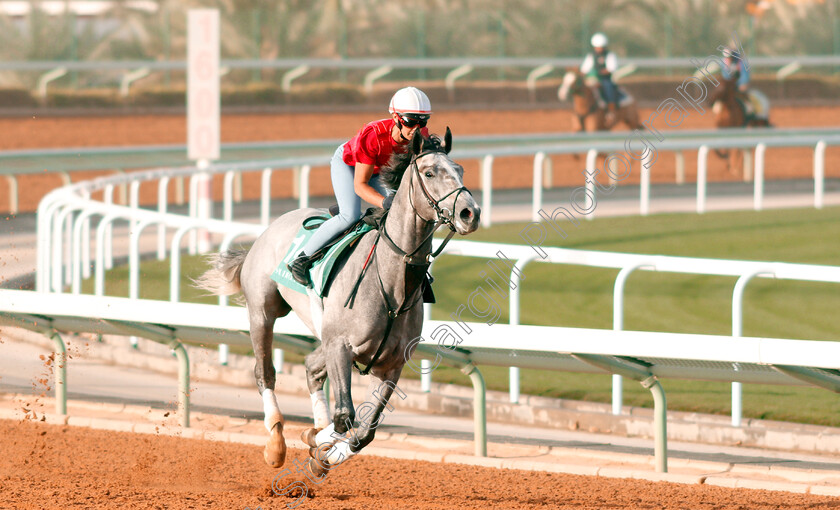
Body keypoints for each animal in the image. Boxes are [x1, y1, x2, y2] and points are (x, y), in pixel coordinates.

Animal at [195, 128, 480, 478]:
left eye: (460, 170)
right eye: (429, 173)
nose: (470, 213)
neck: (392, 282)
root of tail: (269, 229)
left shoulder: (391, 363)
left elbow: (365, 431)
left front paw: (323, 450)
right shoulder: (341, 347)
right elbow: (345, 416)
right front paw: (317, 443)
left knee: (310, 368)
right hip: (263, 311)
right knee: (265, 373)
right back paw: (276, 442)